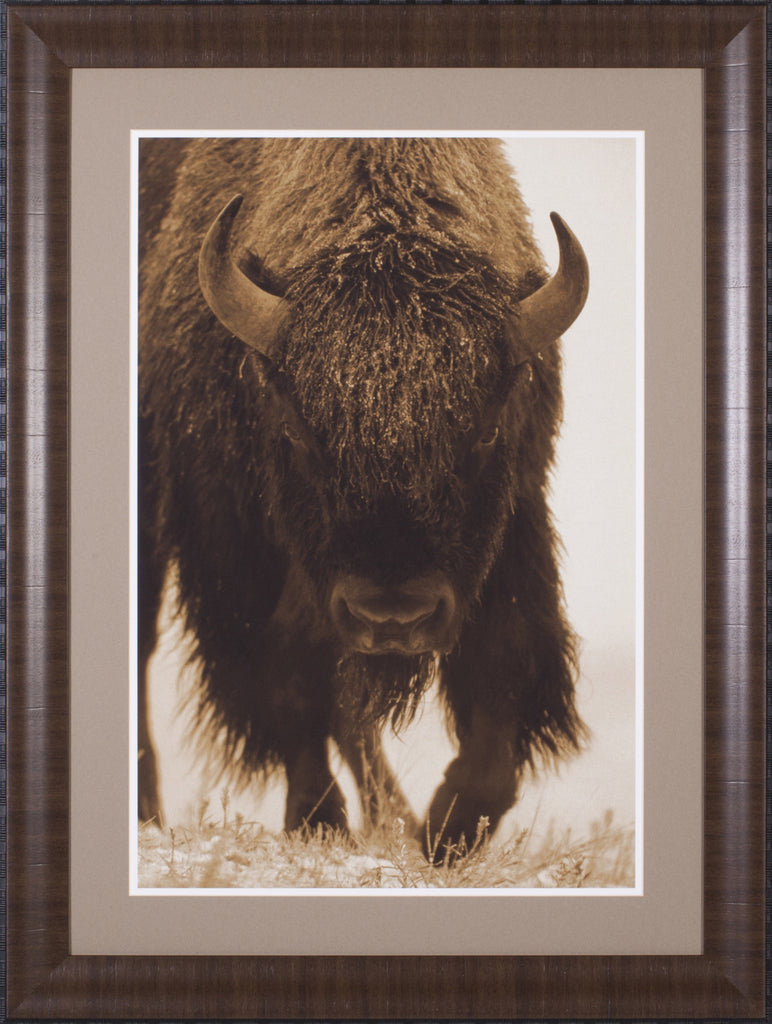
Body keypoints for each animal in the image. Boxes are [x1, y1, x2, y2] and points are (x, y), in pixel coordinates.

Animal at [137, 137, 589, 861]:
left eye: (487, 430)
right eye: (295, 429)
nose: (394, 617)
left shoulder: (514, 520)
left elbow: (506, 667)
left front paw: (446, 831)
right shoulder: (239, 548)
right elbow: (289, 675)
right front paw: (316, 819)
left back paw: (394, 816)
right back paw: (150, 812)